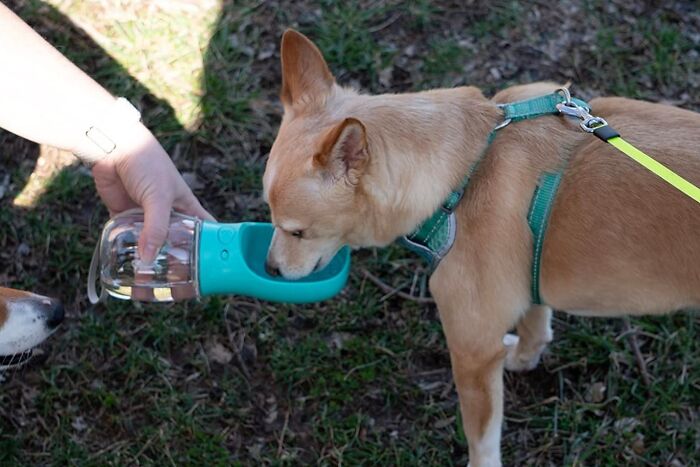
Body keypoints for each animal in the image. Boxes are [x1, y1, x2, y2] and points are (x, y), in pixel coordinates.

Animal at [264, 31, 700, 466]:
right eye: (268, 212)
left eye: (297, 232)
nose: (270, 270)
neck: (464, 172)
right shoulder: (526, 285)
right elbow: (535, 327)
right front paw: (522, 358)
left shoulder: (472, 353)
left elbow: (483, 440)